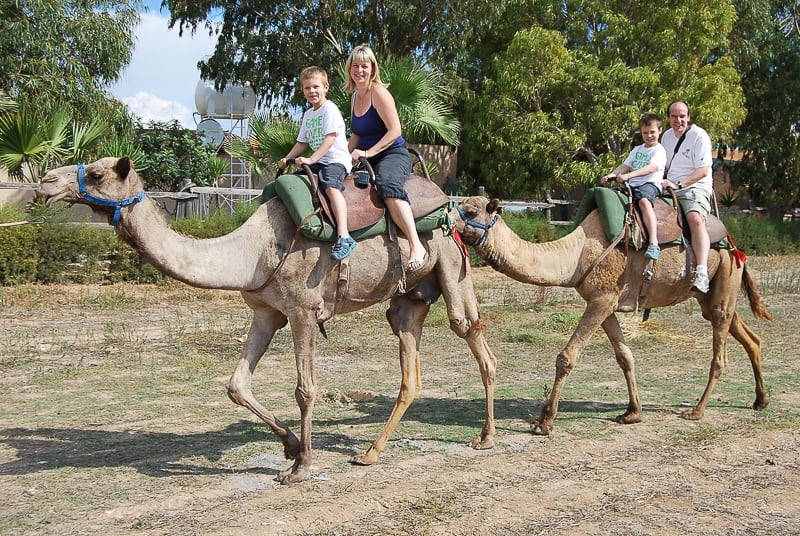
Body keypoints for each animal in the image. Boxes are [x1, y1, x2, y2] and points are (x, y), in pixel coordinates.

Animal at [39, 157, 500, 484]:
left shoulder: (302, 311)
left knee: (470, 331)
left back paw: (485, 438)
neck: (252, 251)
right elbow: (236, 386)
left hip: (450, 260)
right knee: (409, 357)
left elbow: (305, 390)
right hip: (409, 296)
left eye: (97, 173)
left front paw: (302, 466)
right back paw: (370, 452)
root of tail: (451, 207)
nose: (46, 181)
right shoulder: (266, 312)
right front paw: (292, 446)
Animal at [454, 196, 772, 436]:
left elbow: (566, 357)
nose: (448, 220)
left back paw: (697, 410)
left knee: (720, 352)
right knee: (750, 336)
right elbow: (624, 356)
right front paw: (632, 413)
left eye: (471, 211)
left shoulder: (602, 299)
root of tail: (732, 240)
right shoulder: (602, 303)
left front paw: (544, 422)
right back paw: (761, 400)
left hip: (724, 278)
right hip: (711, 294)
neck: (577, 254)